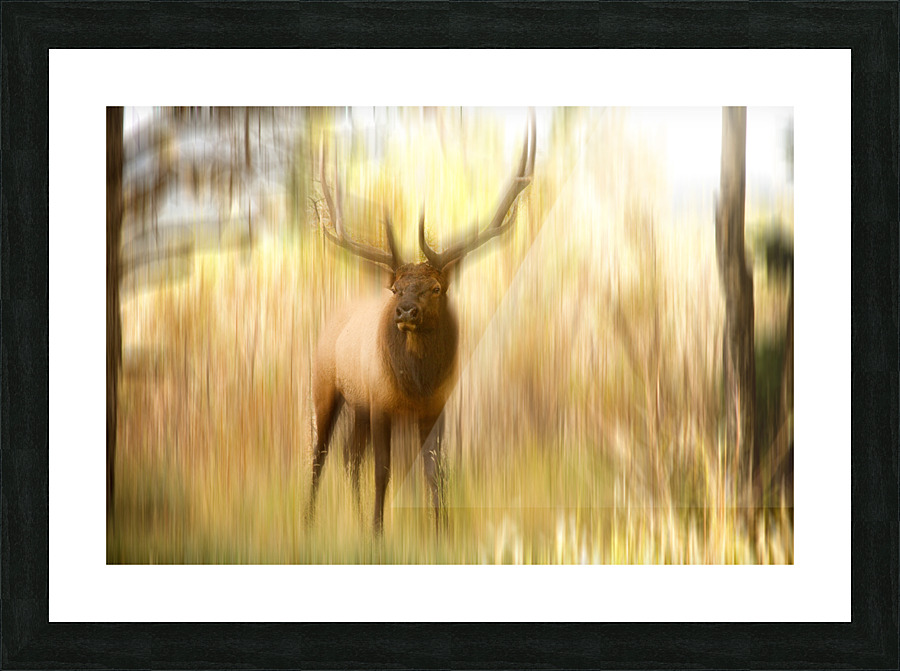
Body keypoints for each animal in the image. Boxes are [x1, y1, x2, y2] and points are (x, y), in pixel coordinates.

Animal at [308, 112, 536, 534]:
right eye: (396, 288)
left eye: (435, 287)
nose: (406, 312)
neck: (414, 386)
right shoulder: (380, 402)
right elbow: (383, 471)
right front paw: (377, 534)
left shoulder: (436, 407)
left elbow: (435, 472)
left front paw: (441, 532)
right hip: (325, 384)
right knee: (321, 454)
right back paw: (308, 520)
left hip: (358, 404)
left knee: (349, 456)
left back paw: (352, 515)